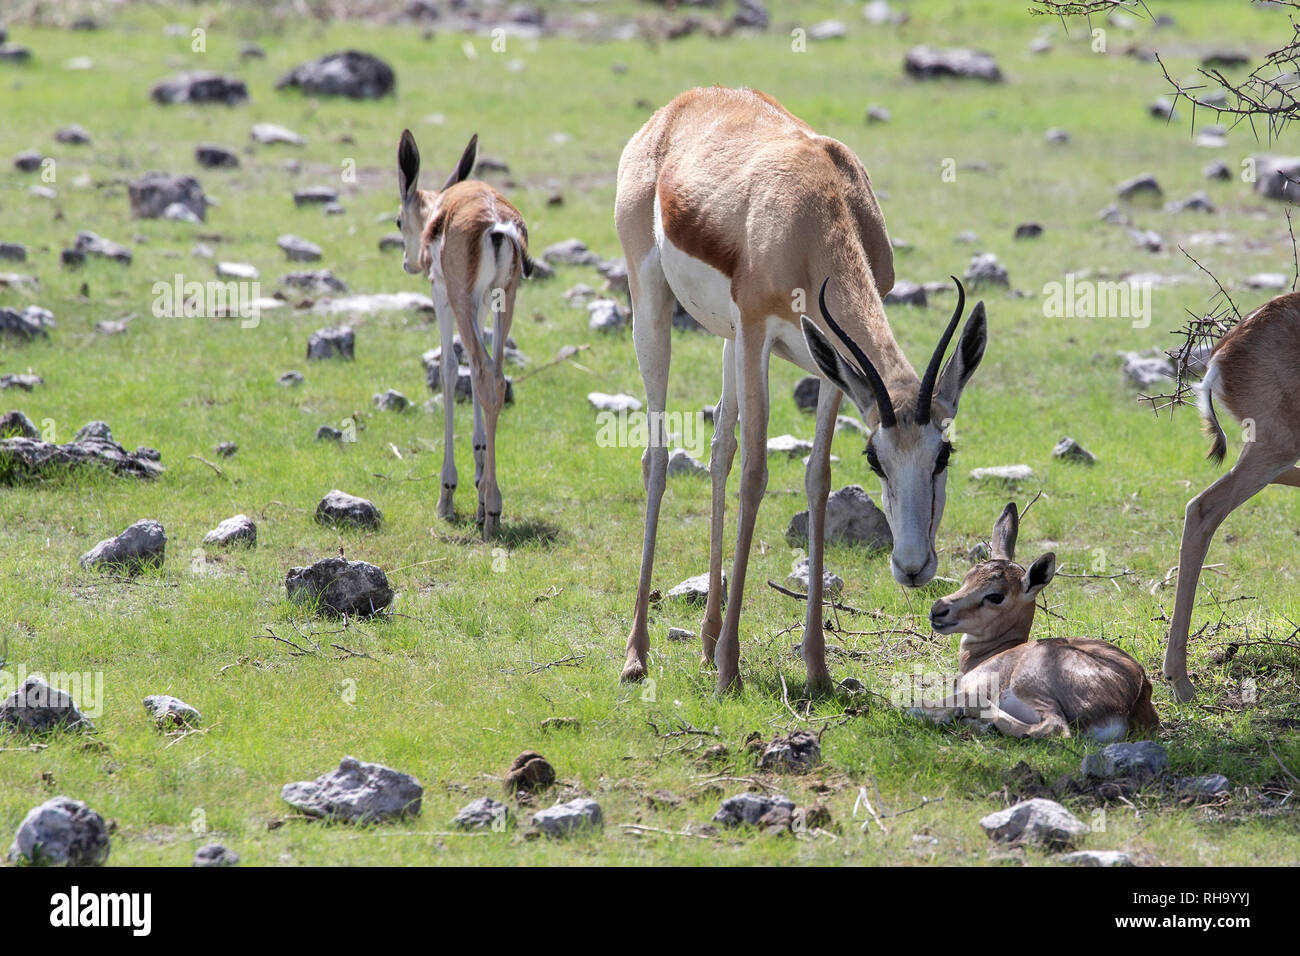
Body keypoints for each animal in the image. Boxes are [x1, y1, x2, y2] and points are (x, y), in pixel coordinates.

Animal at [397, 130, 535, 541]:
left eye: (398, 221)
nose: (408, 263)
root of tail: (498, 224)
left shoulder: (442, 295)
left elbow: (448, 367)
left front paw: (447, 495)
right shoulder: (481, 306)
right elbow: (472, 378)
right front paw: (477, 477)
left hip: (459, 301)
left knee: (482, 372)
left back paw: (490, 510)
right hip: (505, 300)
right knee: (495, 377)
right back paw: (488, 504)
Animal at [613, 85, 987, 691]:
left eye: (943, 454)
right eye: (877, 459)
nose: (912, 568)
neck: (813, 212)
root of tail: (680, 104)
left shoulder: (832, 365)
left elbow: (817, 479)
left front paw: (816, 666)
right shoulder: (759, 333)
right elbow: (756, 475)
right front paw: (731, 671)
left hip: (728, 340)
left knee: (719, 449)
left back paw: (706, 642)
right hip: (655, 308)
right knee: (659, 456)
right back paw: (637, 655)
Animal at [925, 502, 1159, 738]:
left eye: (995, 596)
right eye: (968, 577)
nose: (938, 610)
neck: (988, 655)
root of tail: (1133, 704)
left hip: (1028, 683)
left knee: (1054, 727)